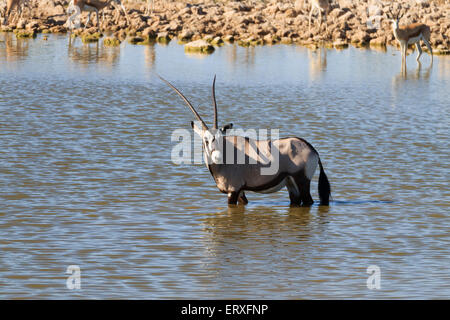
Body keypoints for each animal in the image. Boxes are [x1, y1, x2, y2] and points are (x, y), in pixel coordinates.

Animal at [160, 76, 332, 206]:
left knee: (309, 201)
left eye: (220, 137)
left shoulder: (233, 190)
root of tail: (313, 150)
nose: (216, 156)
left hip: (302, 181)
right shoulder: (241, 192)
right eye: (205, 139)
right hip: (291, 184)